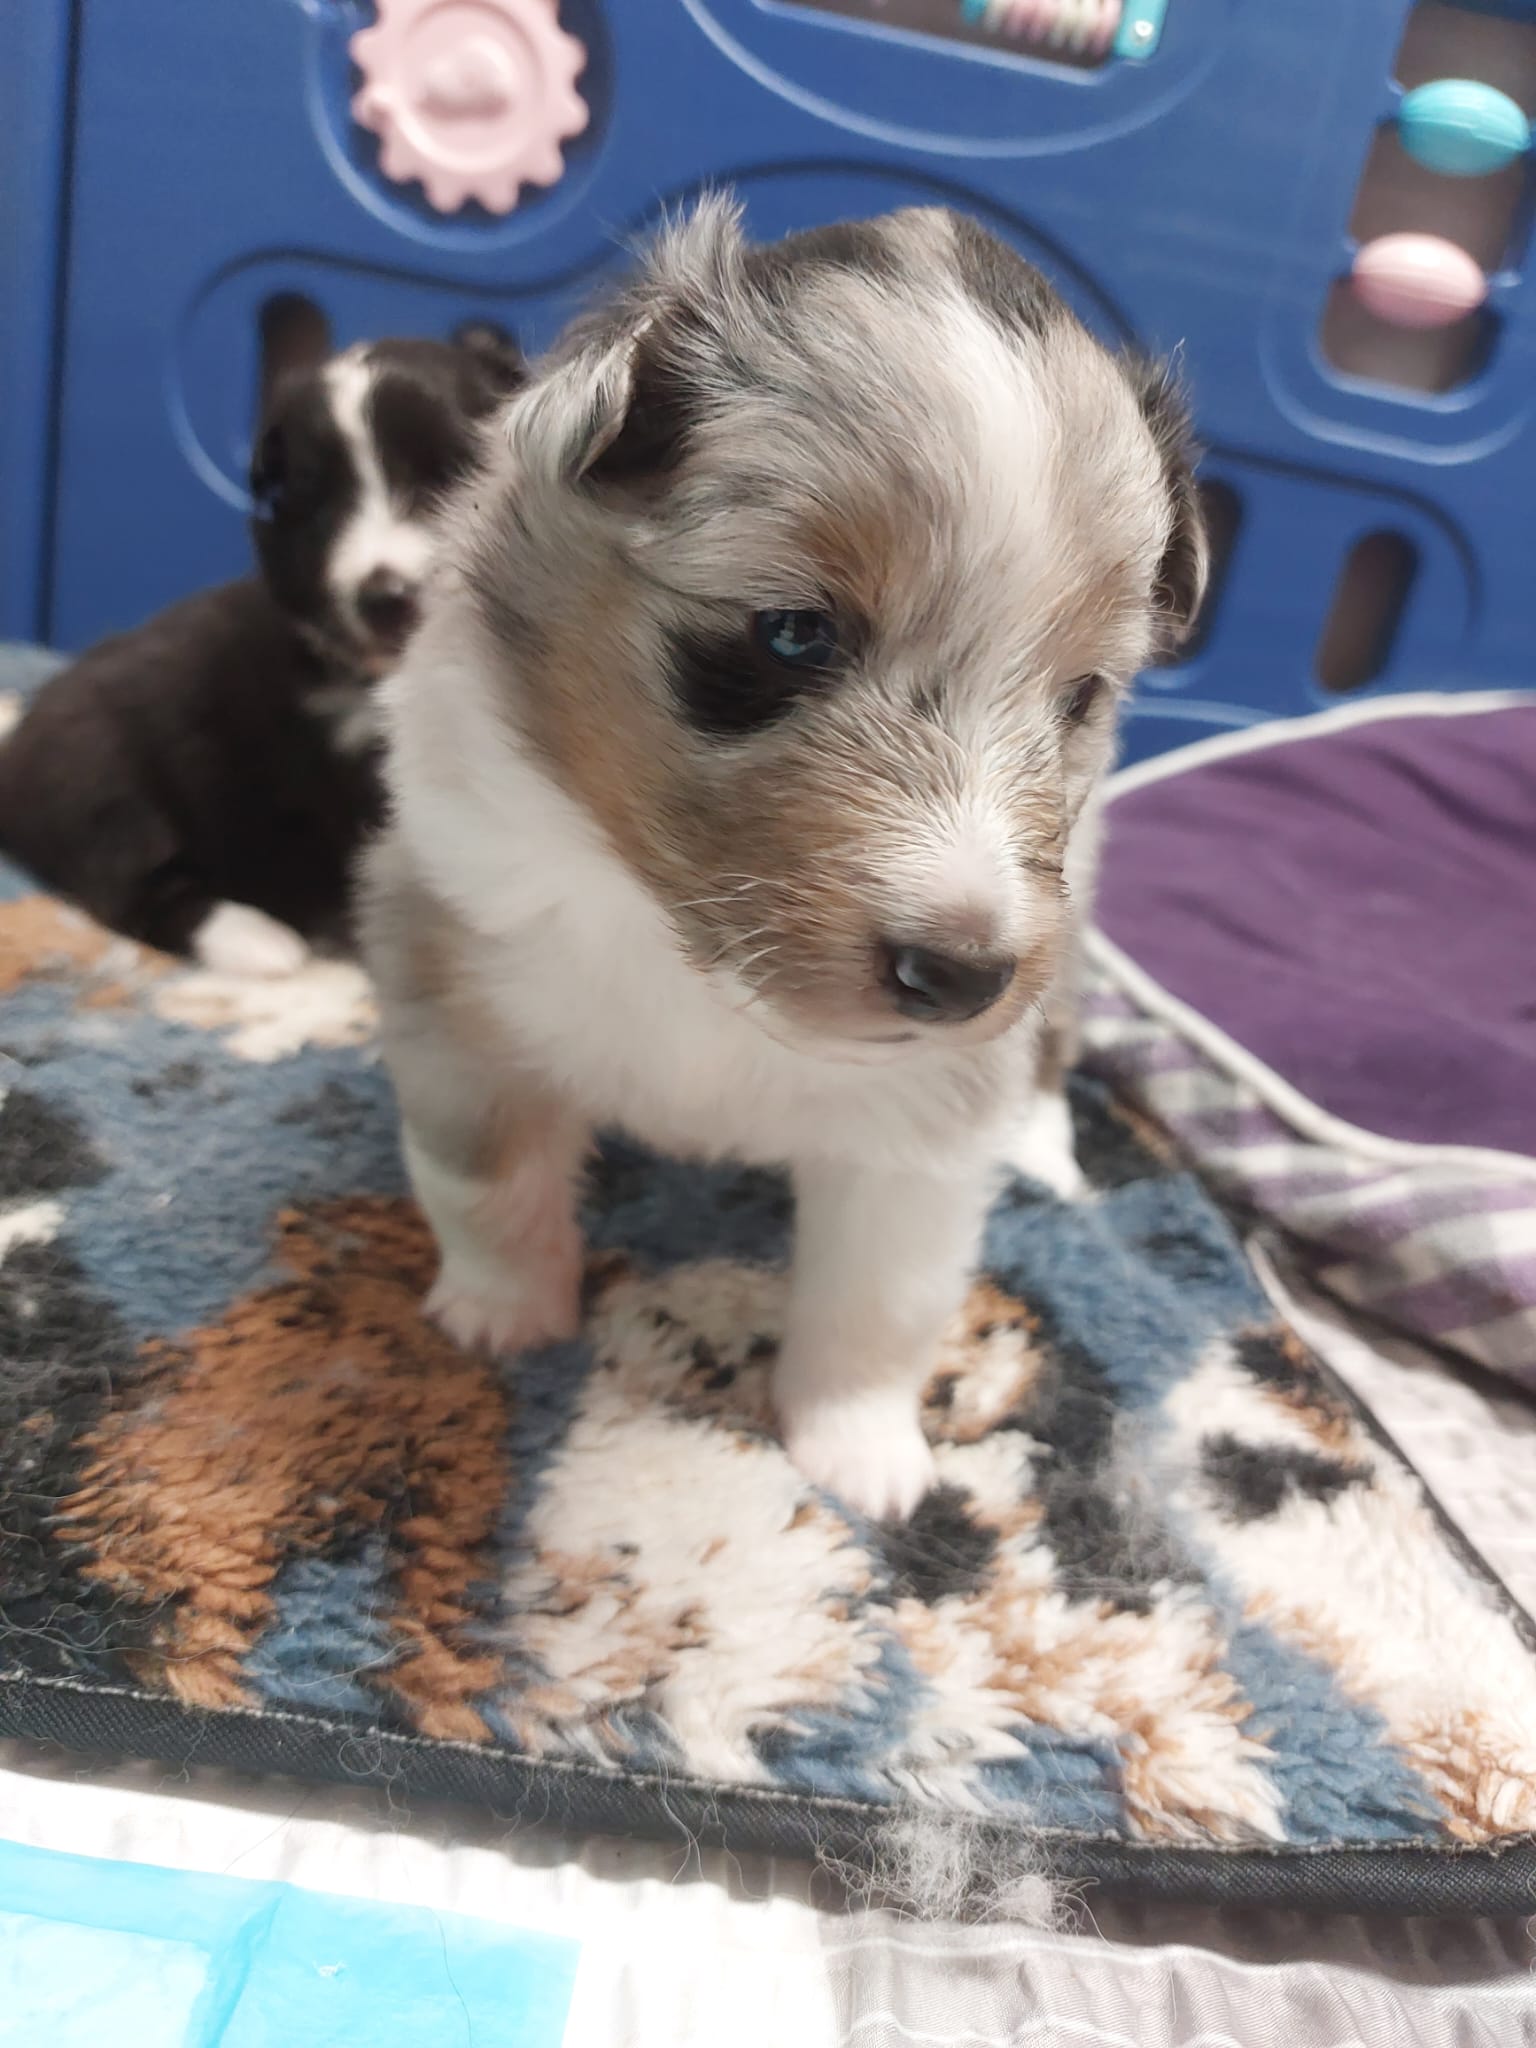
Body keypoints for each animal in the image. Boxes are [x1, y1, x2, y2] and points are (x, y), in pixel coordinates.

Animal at [0, 325, 524, 974]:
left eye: (455, 473)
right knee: (132, 882)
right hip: (94, 778)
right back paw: (258, 941)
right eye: (321, 505)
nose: (385, 597)